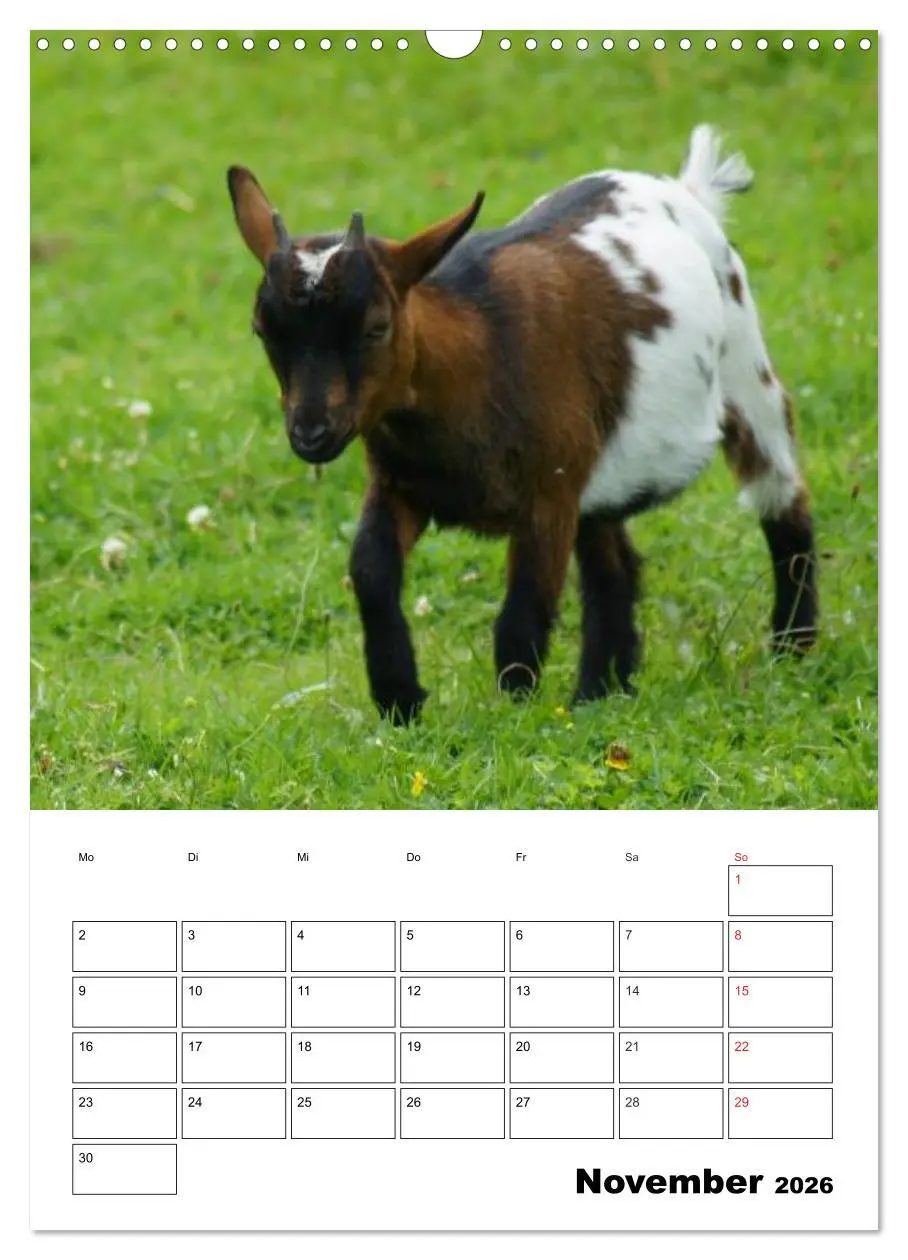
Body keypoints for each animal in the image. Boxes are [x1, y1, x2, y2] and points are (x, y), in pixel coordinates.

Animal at [227, 125, 818, 724]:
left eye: (376, 327)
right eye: (262, 329)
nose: (311, 433)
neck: (478, 358)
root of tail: (687, 190)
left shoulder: (548, 494)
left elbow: (523, 612)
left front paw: (514, 713)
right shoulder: (399, 483)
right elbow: (370, 571)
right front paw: (400, 699)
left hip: (747, 374)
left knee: (782, 499)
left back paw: (792, 645)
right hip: (602, 469)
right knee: (614, 566)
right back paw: (599, 694)